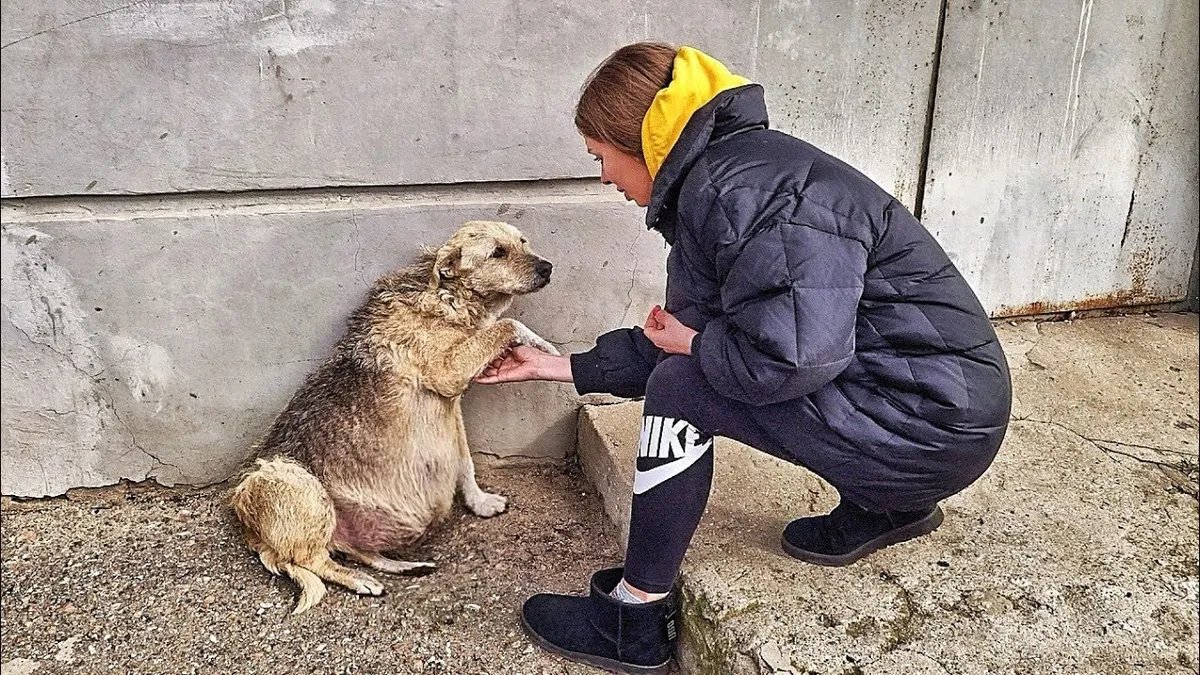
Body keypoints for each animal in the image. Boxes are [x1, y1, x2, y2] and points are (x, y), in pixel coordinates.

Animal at [231, 222, 559, 614]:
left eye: (523, 242)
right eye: (498, 252)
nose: (548, 268)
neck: (446, 296)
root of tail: (250, 530)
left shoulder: (453, 409)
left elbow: (465, 462)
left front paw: (479, 502)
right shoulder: (449, 373)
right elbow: (508, 324)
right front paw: (545, 346)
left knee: (353, 551)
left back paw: (404, 566)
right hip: (292, 481)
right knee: (312, 560)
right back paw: (360, 580)